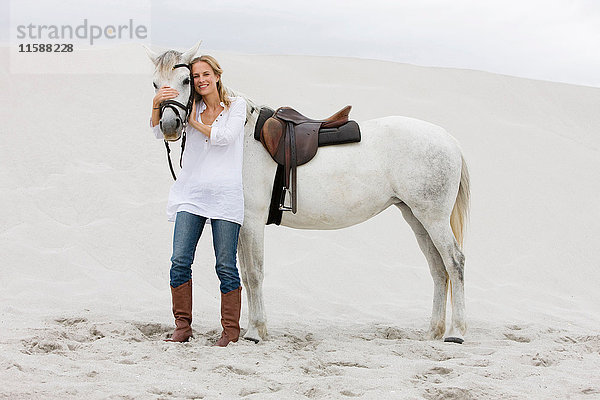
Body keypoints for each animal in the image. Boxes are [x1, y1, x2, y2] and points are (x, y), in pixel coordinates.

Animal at [144, 43, 468, 344]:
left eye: (187, 79)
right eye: (156, 83)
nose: (169, 125)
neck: (242, 137)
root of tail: (448, 139)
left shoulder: (251, 221)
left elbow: (254, 273)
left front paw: (256, 331)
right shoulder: (239, 223)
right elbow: (245, 276)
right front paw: (251, 328)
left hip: (433, 218)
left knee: (454, 262)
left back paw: (456, 332)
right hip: (416, 217)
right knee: (438, 269)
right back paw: (434, 331)